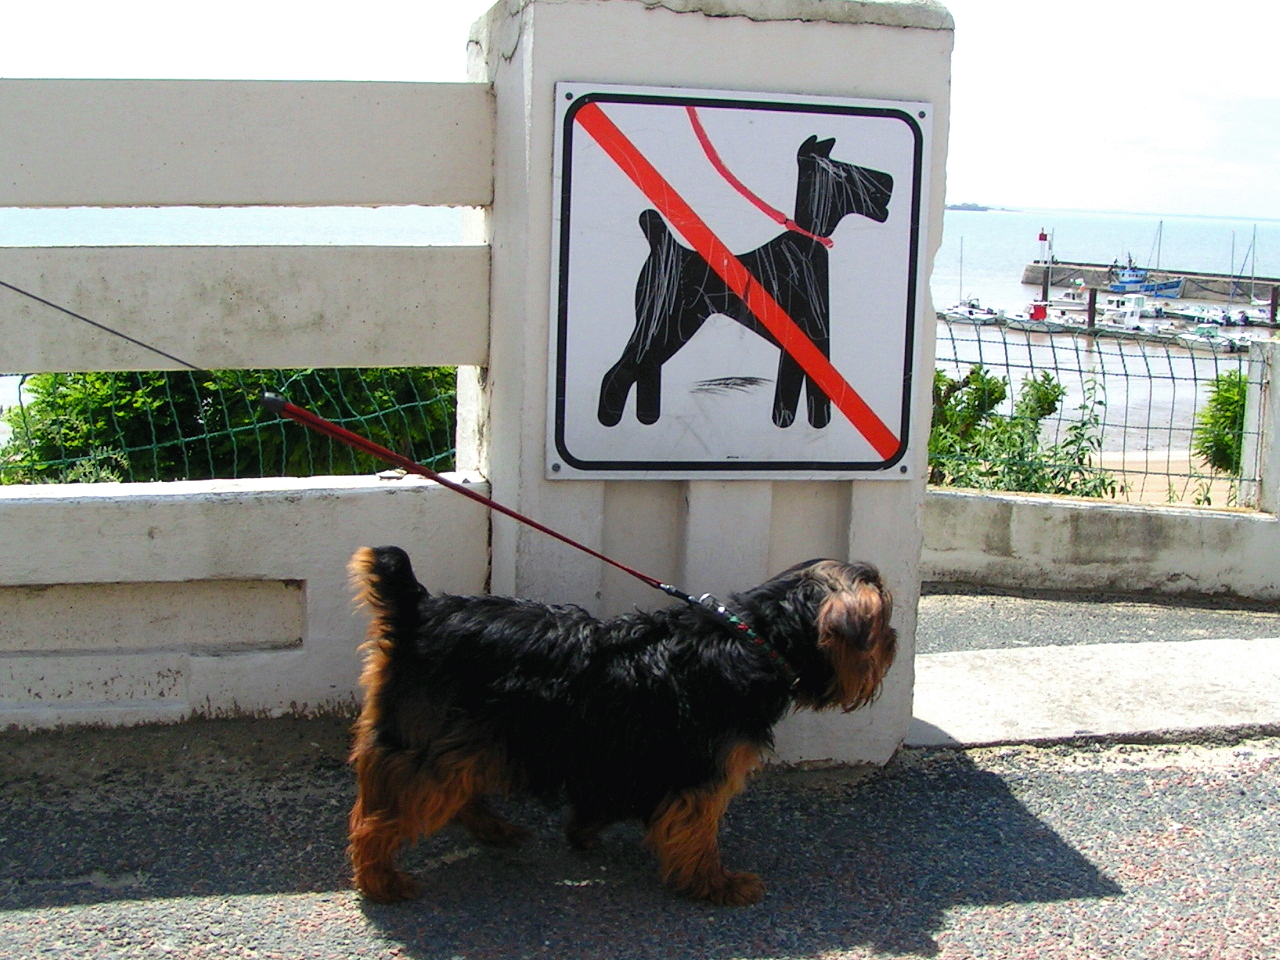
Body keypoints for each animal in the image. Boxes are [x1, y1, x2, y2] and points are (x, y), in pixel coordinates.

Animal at [345, 547, 896, 911]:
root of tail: (418, 611)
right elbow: (699, 833)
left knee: (455, 789)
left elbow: (605, 803)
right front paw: (716, 885)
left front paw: (583, 830)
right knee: (383, 815)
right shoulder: (700, 775)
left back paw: (494, 828)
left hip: (471, 738)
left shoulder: (622, 758)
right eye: (884, 618)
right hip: (433, 741)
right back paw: (380, 879)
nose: (893, 640)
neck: (754, 638)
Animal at [596, 135, 890, 432]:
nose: (888, 183)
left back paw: (647, 419)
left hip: (660, 326)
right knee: (619, 373)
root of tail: (660, 242)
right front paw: (803, 424)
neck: (806, 242)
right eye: (841, 170)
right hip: (668, 324)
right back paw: (609, 421)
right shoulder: (808, 335)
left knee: (645, 370)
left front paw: (794, 424)